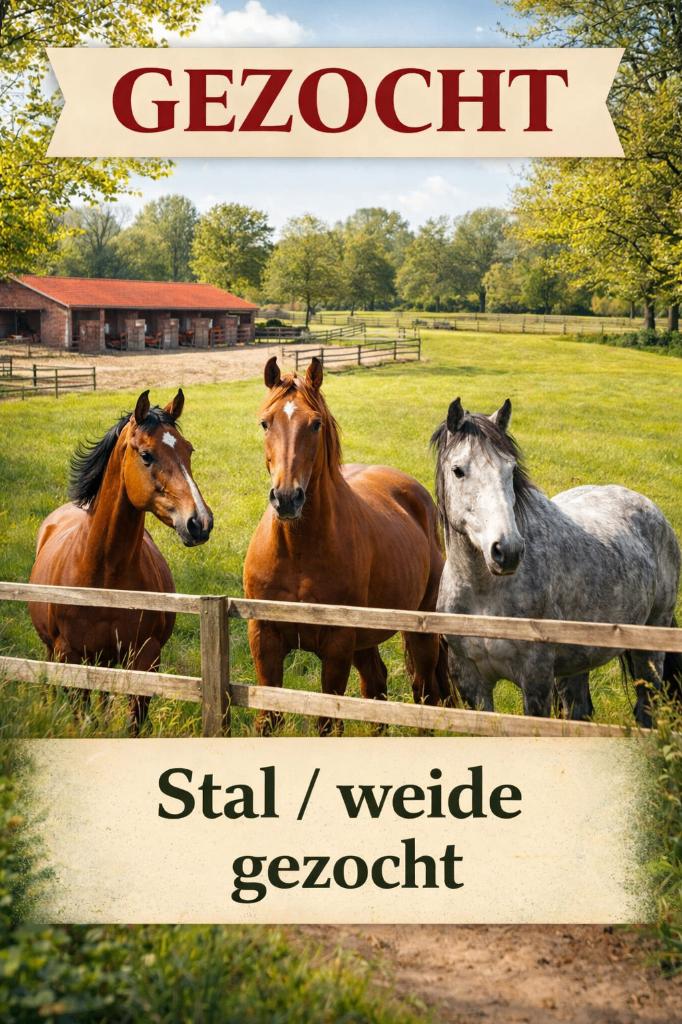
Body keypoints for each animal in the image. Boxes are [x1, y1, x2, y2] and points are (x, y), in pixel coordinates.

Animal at [29, 389, 213, 733]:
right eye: (146, 455)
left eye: (189, 450)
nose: (200, 522)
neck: (103, 579)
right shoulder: (69, 656)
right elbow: (82, 717)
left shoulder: (146, 658)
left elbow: (134, 723)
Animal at [243, 356, 451, 734]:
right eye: (265, 423)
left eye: (315, 424)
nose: (286, 498)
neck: (297, 551)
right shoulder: (264, 639)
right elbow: (269, 719)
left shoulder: (337, 645)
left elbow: (328, 723)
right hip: (365, 639)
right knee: (376, 685)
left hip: (420, 634)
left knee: (425, 693)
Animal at [432, 396, 681, 725]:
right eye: (458, 470)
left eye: (511, 470)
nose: (507, 551)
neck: (484, 594)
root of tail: (650, 508)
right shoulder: (471, 682)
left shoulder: (536, 679)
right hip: (578, 660)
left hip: (649, 648)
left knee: (645, 707)